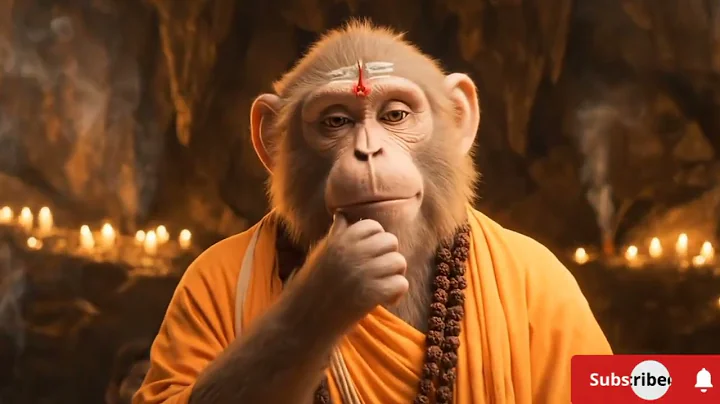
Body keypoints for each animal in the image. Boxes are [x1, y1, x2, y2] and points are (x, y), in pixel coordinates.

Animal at [134, 20, 611, 404]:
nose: (367, 152)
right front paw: (331, 284)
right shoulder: (197, 277)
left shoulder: (554, 285)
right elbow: (177, 395)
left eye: (395, 115)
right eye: (336, 121)